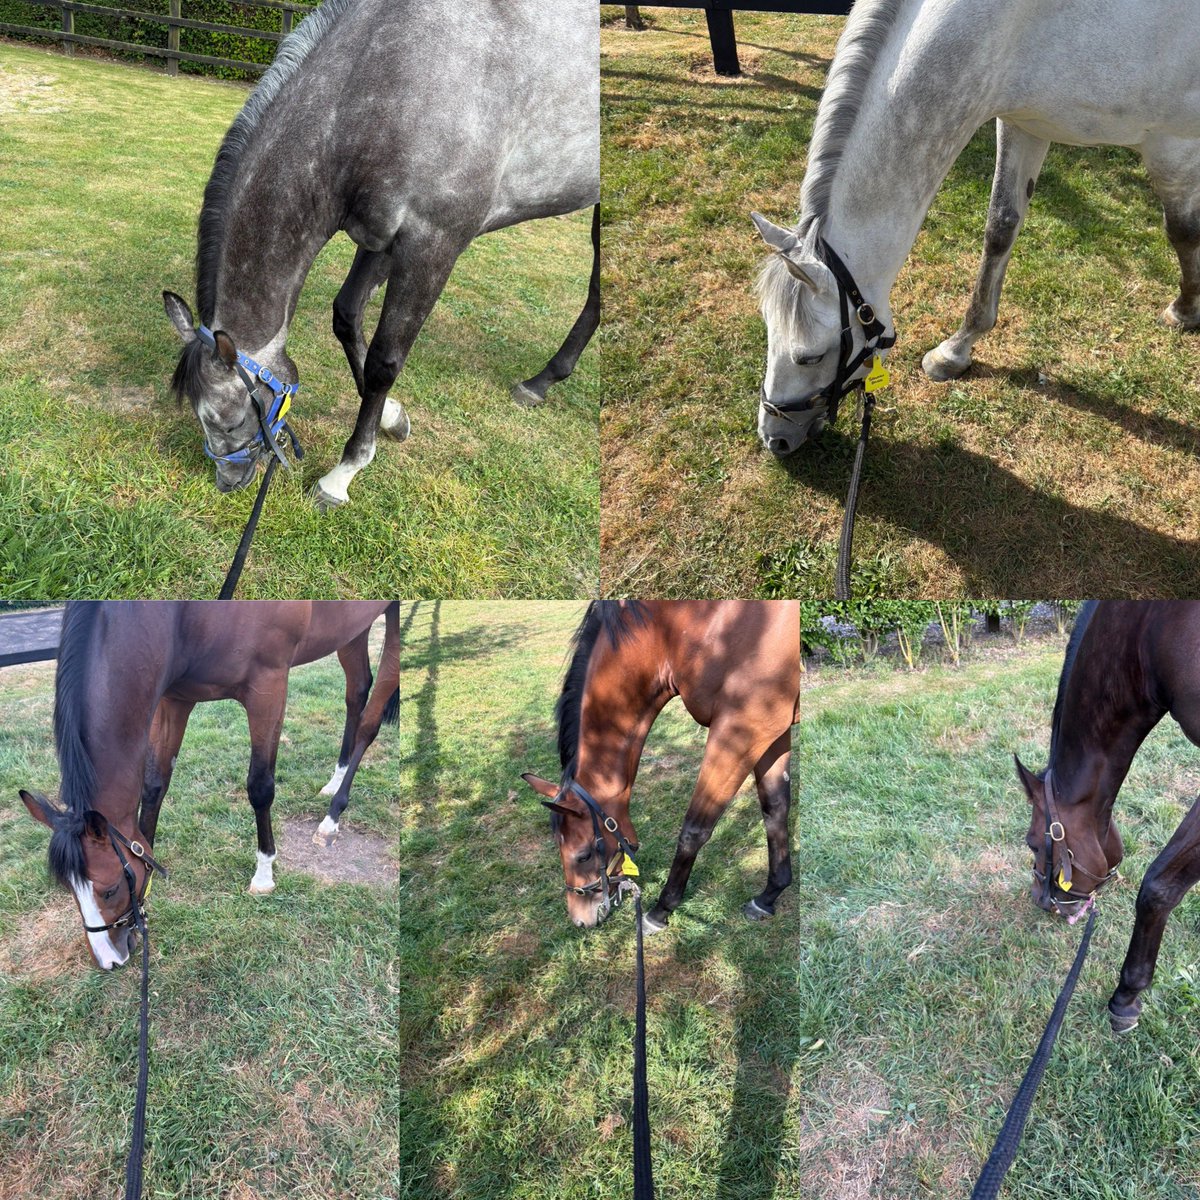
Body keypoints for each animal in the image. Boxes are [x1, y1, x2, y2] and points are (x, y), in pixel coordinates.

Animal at [18, 600, 399, 970]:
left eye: (110, 889)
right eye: (69, 889)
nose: (109, 960)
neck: (186, 616)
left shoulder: (268, 687)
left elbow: (260, 786)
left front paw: (264, 874)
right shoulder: (175, 700)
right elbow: (154, 785)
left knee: (370, 717)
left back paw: (332, 817)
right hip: (352, 629)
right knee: (356, 692)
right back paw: (334, 781)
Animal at [163, 0, 599, 506]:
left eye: (229, 421)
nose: (227, 482)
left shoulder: (431, 245)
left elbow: (385, 361)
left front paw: (343, 472)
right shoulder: (379, 237)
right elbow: (347, 316)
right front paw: (392, 417)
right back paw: (541, 381)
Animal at [522, 600, 800, 932]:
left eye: (584, 855)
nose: (580, 920)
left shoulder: (743, 729)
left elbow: (694, 830)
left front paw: (660, 910)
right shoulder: (772, 732)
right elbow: (775, 809)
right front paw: (769, 896)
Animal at [752, 0, 1200, 456]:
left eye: (809, 356)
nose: (774, 439)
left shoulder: (1174, 146)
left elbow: (1182, 230)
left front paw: (1185, 309)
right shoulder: (1024, 123)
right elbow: (1000, 228)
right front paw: (956, 349)